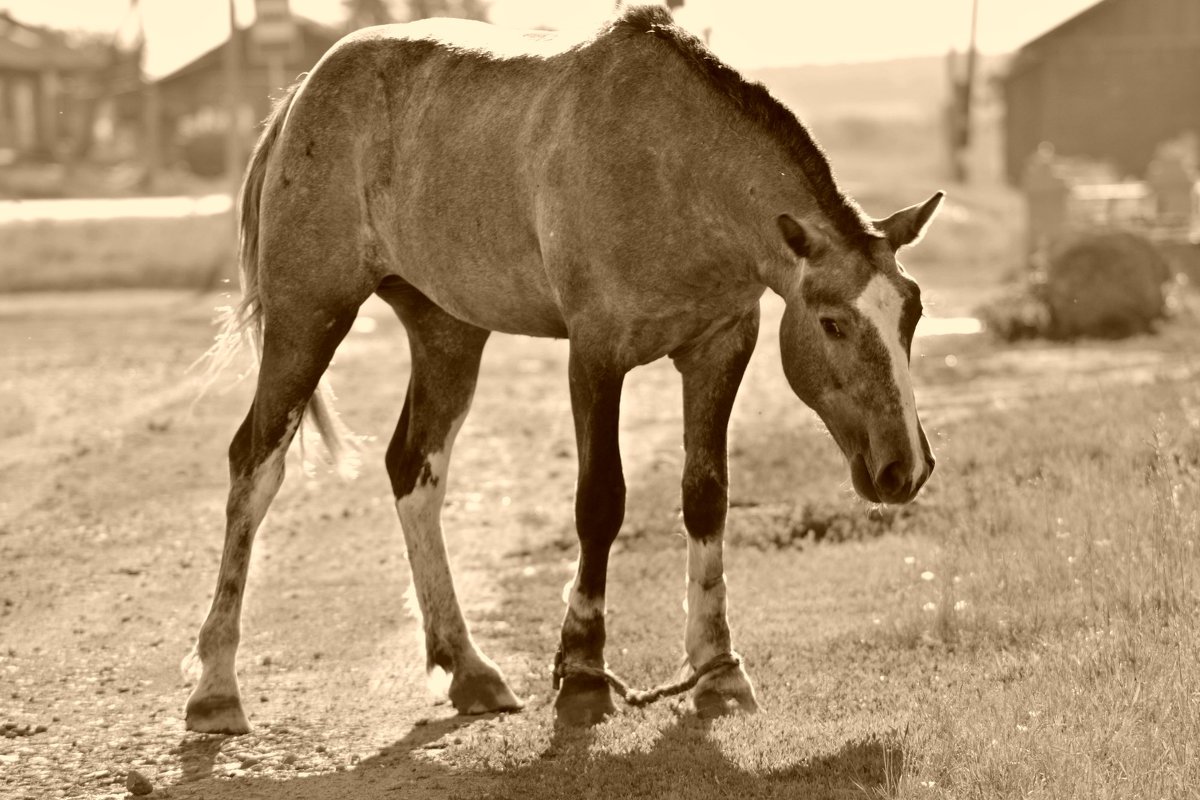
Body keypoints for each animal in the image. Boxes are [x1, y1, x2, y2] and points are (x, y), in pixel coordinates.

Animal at [182, 6, 940, 734]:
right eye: (833, 323)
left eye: (913, 312)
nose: (905, 468)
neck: (673, 168)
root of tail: (302, 93)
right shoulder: (595, 356)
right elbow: (600, 503)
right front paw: (581, 673)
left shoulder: (721, 347)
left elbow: (706, 496)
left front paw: (718, 670)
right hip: (308, 320)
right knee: (255, 465)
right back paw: (216, 688)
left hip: (446, 332)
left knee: (413, 469)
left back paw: (468, 667)